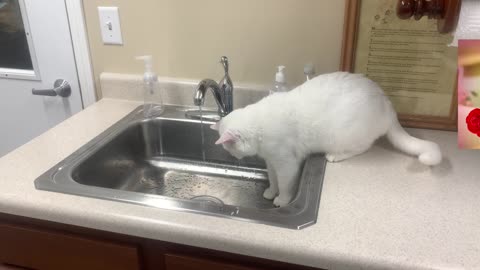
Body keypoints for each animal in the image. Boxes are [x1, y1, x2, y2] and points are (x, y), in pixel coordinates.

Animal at [211, 71, 442, 207]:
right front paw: (270, 192)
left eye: (230, 149)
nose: (234, 157)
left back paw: (335, 156)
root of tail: (386, 102)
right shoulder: (271, 162)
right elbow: (273, 180)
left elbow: (285, 185)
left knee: (362, 147)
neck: (259, 126)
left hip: (345, 136)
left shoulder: (286, 164)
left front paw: (282, 200)